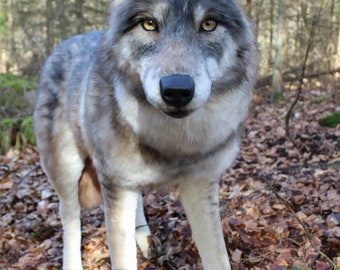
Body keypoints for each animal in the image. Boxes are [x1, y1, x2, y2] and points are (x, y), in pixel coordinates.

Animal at [33, 0, 258, 268]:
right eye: (149, 24)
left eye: (208, 24)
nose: (177, 90)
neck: (175, 144)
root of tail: (62, 45)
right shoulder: (117, 186)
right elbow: (121, 258)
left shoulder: (200, 185)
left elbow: (218, 257)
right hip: (66, 169)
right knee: (69, 216)